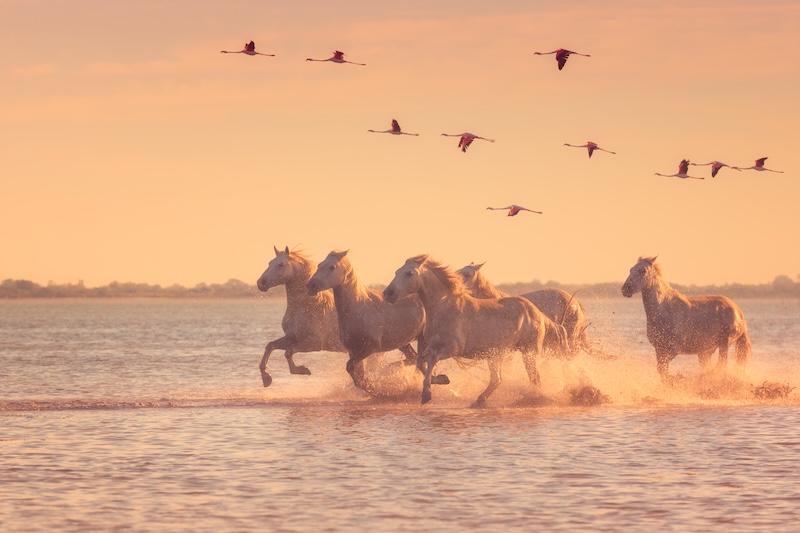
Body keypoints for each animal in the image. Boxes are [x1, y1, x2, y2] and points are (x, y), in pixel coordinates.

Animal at [256, 246, 345, 387]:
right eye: (270, 263)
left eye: (281, 264)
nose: (261, 283)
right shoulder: (292, 337)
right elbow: (270, 346)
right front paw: (266, 378)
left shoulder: (314, 343)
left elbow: (288, 352)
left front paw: (302, 370)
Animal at [305, 250, 438, 392]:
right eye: (320, 265)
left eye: (332, 267)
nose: (310, 285)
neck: (358, 308)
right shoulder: (353, 350)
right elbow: (356, 373)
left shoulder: (370, 347)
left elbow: (351, 368)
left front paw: (374, 388)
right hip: (403, 343)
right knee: (413, 358)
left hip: (422, 339)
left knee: (420, 360)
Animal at [384, 255, 546, 407]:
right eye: (396, 272)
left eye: (409, 273)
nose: (388, 293)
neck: (443, 308)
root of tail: (536, 312)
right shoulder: (432, 346)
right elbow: (419, 361)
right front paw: (442, 379)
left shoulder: (452, 349)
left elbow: (431, 360)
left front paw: (426, 394)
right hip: (495, 355)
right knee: (498, 379)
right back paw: (479, 401)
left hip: (528, 352)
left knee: (535, 379)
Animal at [621, 256, 751, 380]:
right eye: (631, 269)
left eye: (643, 271)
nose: (625, 289)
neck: (664, 309)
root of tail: (739, 313)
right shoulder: (659, 349)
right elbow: (662, 371)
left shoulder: (673, 349)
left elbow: (662, 369)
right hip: (705, 351)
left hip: (724, 343)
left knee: (721, 366)